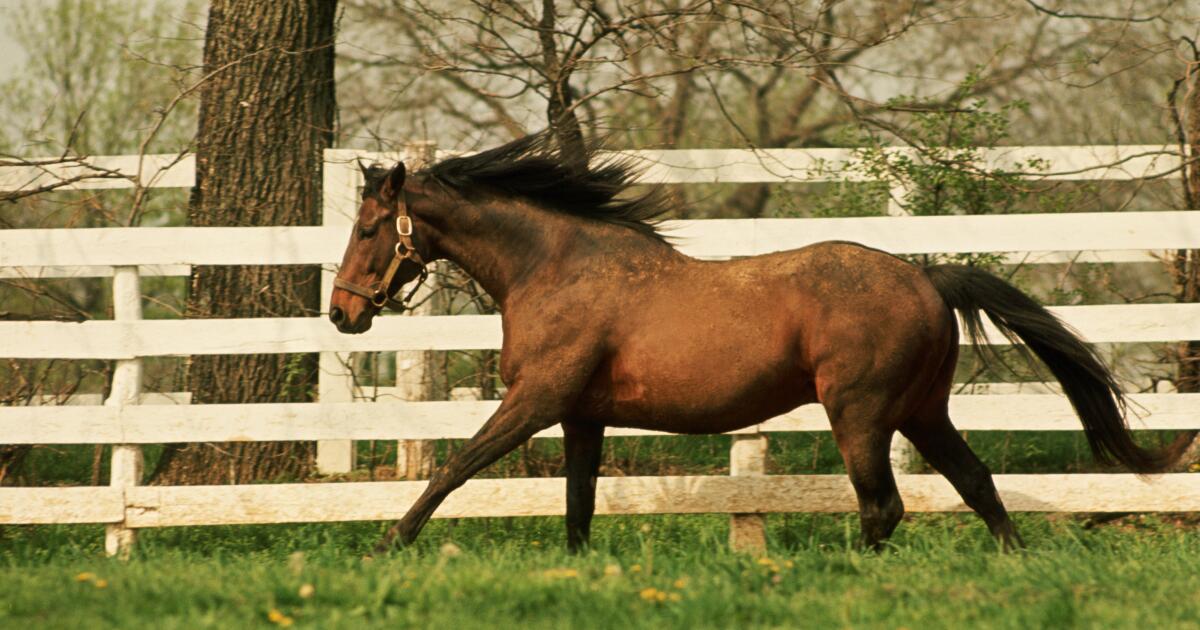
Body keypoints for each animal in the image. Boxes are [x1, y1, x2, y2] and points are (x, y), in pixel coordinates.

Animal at [328, 132, 1190, 549]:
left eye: (370, 227)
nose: (343, 314)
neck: (556, 268)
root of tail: (927, 278)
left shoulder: (535, 399)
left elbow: (454, 469)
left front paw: (389, 545)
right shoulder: (581, 416)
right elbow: (577, 507)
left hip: (860, 415)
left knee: (883, 506)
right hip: (921, 412)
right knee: (975, 484)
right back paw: (1014, 561)